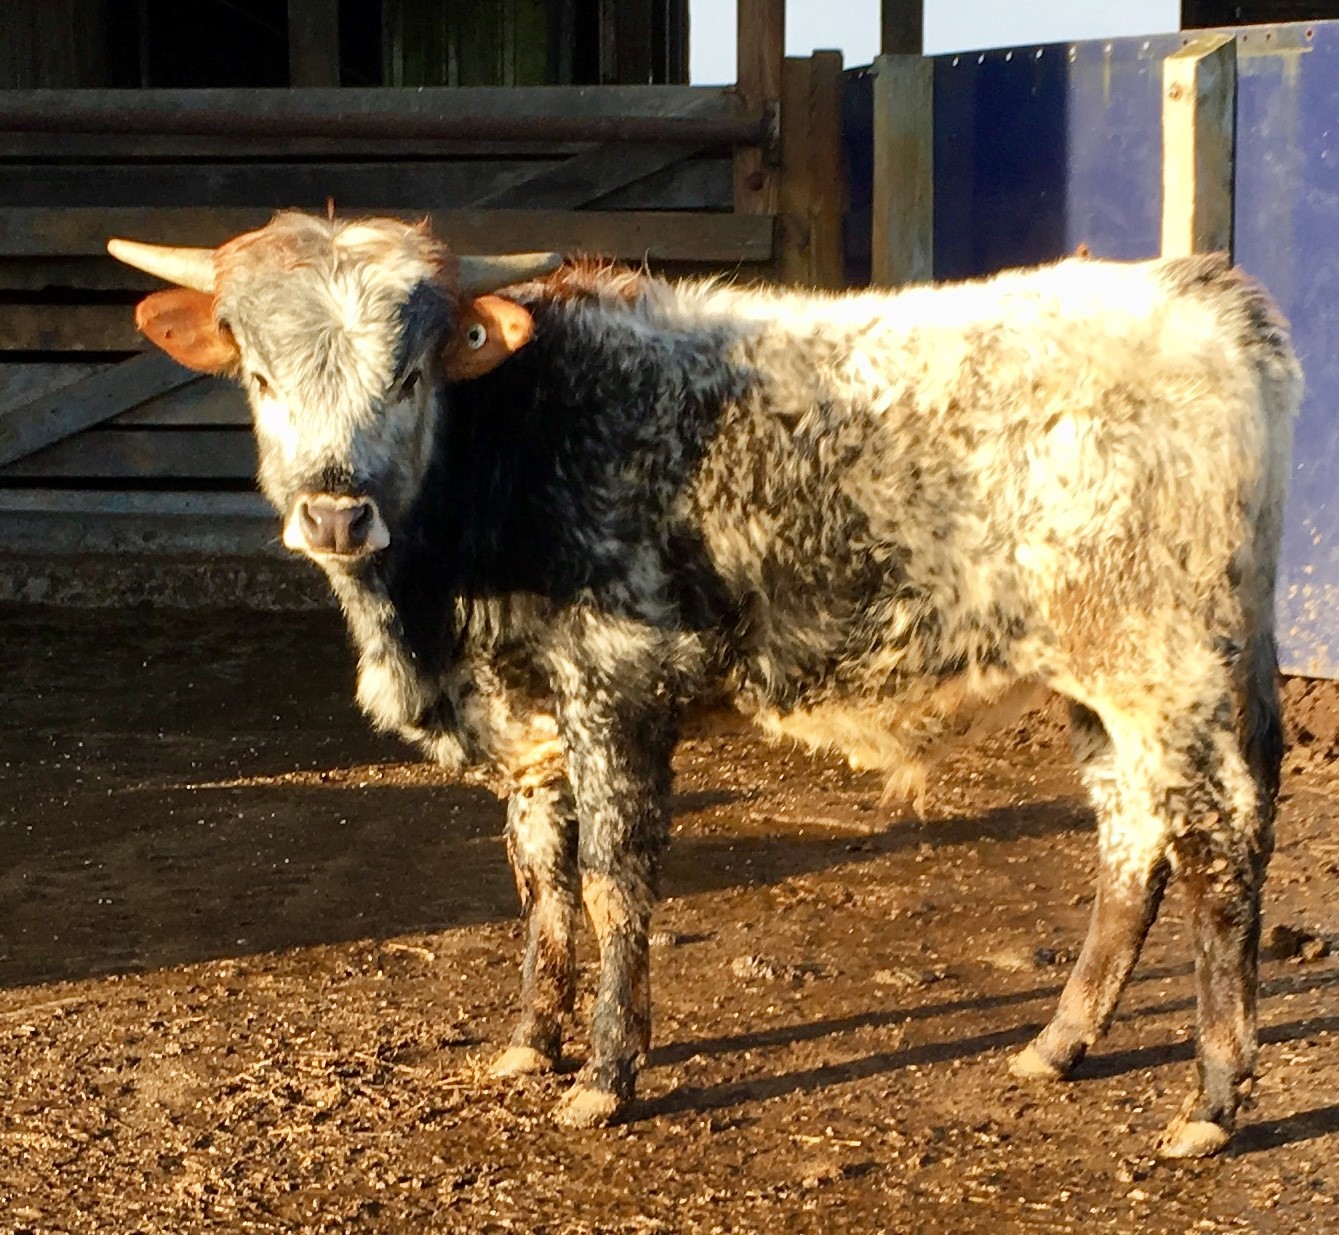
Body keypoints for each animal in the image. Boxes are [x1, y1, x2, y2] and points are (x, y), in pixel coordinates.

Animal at [108, 213, 1300, 1157]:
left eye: (406, 376)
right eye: (260, 376)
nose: (334, 511)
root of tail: (1194, 291)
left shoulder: (616, 686)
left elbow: (609, 884)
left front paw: (603, 1078)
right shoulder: (531, 725)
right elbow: (539, 881)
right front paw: (526, 1044)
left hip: (1166, 661)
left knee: (1219, 842)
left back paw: (1212, 1099)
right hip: (1098, 677)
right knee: (1131, 835)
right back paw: (1058, 1043)